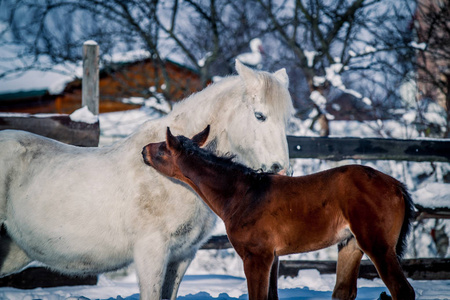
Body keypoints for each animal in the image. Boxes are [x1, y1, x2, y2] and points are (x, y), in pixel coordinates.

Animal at [0, 60, 294, 298]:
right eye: (260, 116)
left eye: (286, 120)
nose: (281, 171)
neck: (169, 178)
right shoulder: (151, 253)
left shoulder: (181, 257)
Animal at [142, 126, 416, 300]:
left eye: (162, 148)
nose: (144, 150)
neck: (242, 194)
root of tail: (397, 186)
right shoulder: (273, 257)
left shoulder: (256, 256)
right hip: (350, 246)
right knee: (343, 293)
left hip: (377, 245)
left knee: (403, 291)